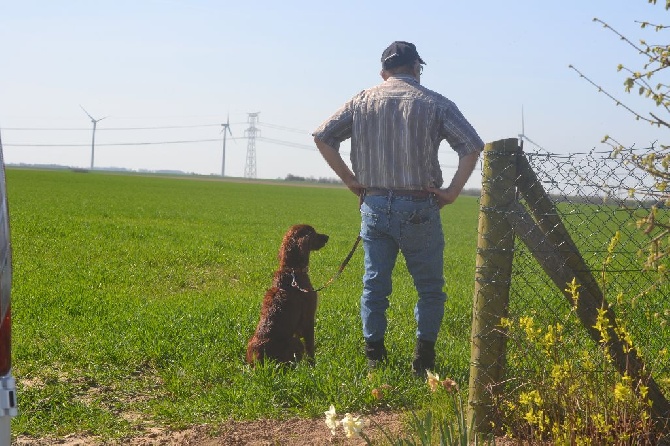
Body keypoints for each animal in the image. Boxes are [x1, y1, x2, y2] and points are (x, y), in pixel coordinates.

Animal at [247, 225, 330, 364]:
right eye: (313, 233)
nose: (327, 237)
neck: (292, 271)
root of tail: (260, 359)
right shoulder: (308, 318)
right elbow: (310, 348)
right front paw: (314, 366)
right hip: (296, 342)